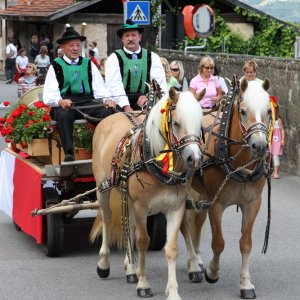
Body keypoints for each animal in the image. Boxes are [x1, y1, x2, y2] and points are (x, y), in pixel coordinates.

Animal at [91, 87, 204, 300]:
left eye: (200, 123)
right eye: (176, 123)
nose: (194, 158)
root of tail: (113, 115)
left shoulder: (175, 208)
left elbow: (171, 248)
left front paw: (173, 291)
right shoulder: (141, 207)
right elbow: (143, 242)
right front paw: (143, 284)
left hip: (127, 197)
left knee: (127, 224)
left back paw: (130, 269)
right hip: (104, 188)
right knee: (107, 217)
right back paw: (104, 263)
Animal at [182, 78, 274, 298]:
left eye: (269, 111)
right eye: (242, 111)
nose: (260, 146)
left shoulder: (253, 203)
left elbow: (246, 243)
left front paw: (246, 284)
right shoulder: (217, 204)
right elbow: (218, 242)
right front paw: (212, 272)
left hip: (200, 195)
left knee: (196, 221)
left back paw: (196, 259)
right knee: (184, 226)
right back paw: (194, 267)